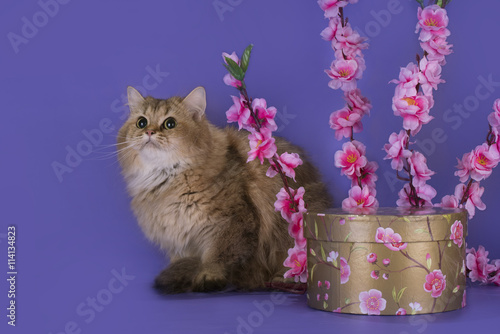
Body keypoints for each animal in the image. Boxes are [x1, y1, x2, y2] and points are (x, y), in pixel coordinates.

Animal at [117, 85, 332, 292]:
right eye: (141, 123)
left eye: (170, 124)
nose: (149, 132)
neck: (165, 180)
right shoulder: (180, 239)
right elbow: (184, 261)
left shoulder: (232, 223)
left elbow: (215, 257)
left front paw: (208, 277)